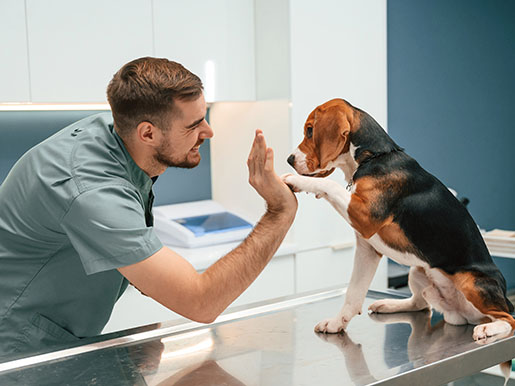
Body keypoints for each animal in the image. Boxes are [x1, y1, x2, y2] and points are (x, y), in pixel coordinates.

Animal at [282, 98, 515, 342]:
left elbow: (330, 185)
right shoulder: (367, 248)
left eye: (310, 131)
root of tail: (461, 315)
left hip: (472, 282)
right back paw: (388, 304)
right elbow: (353, 293)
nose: (289, 160)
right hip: (418, 270)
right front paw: (337, 323)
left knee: (508, 319)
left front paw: (297, 181)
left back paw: (490, 328)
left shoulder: (364, 215)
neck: (375, 156)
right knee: (421, 304)